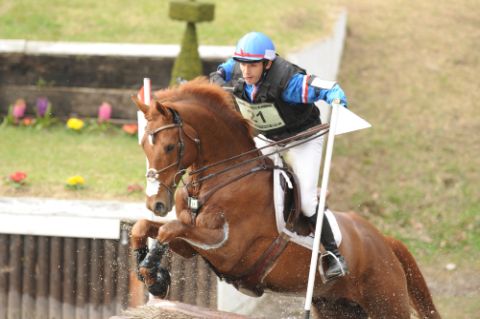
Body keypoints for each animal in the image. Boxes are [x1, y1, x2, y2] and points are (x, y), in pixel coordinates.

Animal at [129, 78, 440, 319]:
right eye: (143, 144)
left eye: (170, 146)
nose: (156, 203)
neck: (220, 178)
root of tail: (383, 240)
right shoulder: (192, 245)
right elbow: (145, 227)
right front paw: (150, 274)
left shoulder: (227, 248)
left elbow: (168, 229)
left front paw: (153, 273)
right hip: (338, 306)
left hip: (387, 302)